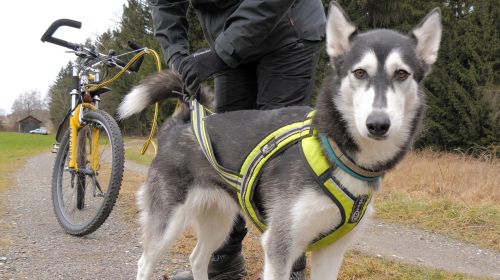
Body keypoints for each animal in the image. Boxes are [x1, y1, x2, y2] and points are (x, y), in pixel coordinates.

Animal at [120, 2, 442, 280]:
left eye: (402, 74)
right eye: (360, 72)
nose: (378, 124)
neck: (333, 150)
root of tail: (184, 121)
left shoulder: (331, 251)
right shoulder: (279, 245)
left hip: (218, 221)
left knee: (197, 258)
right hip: (168, 222)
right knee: (144, 262)